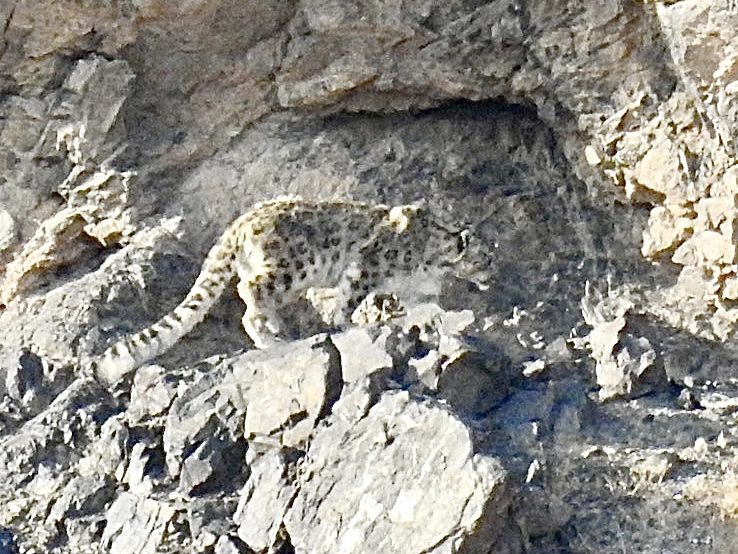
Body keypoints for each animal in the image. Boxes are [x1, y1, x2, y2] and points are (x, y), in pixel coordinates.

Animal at [94, 196, 486, 384]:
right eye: (488, 257)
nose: (491, 277)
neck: (434, 263)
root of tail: (240, 222)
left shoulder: (419, 290)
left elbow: (428, 306)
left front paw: (444, 317)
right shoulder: (367, 266)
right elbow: (348, 297)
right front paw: (347, 323)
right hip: (291, 268)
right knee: (249, 292)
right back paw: (271, 338)